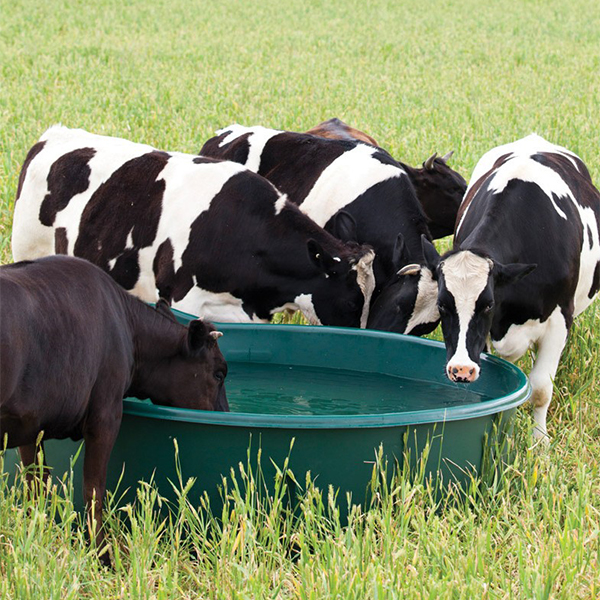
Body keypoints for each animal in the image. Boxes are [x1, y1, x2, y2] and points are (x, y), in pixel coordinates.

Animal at [0, 255, 230, 564]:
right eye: (219, 373)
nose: (224, 414)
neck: (127, 328)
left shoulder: (31, 424)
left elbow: (36, 482)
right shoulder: (106, 415)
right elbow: (93, 490)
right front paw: (103, 555)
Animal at [422, 134, 600, 438]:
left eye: (488, 304)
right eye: (442, 305)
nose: (461, 370)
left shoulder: (559, 319)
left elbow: (540, 388)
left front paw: (539, 440)